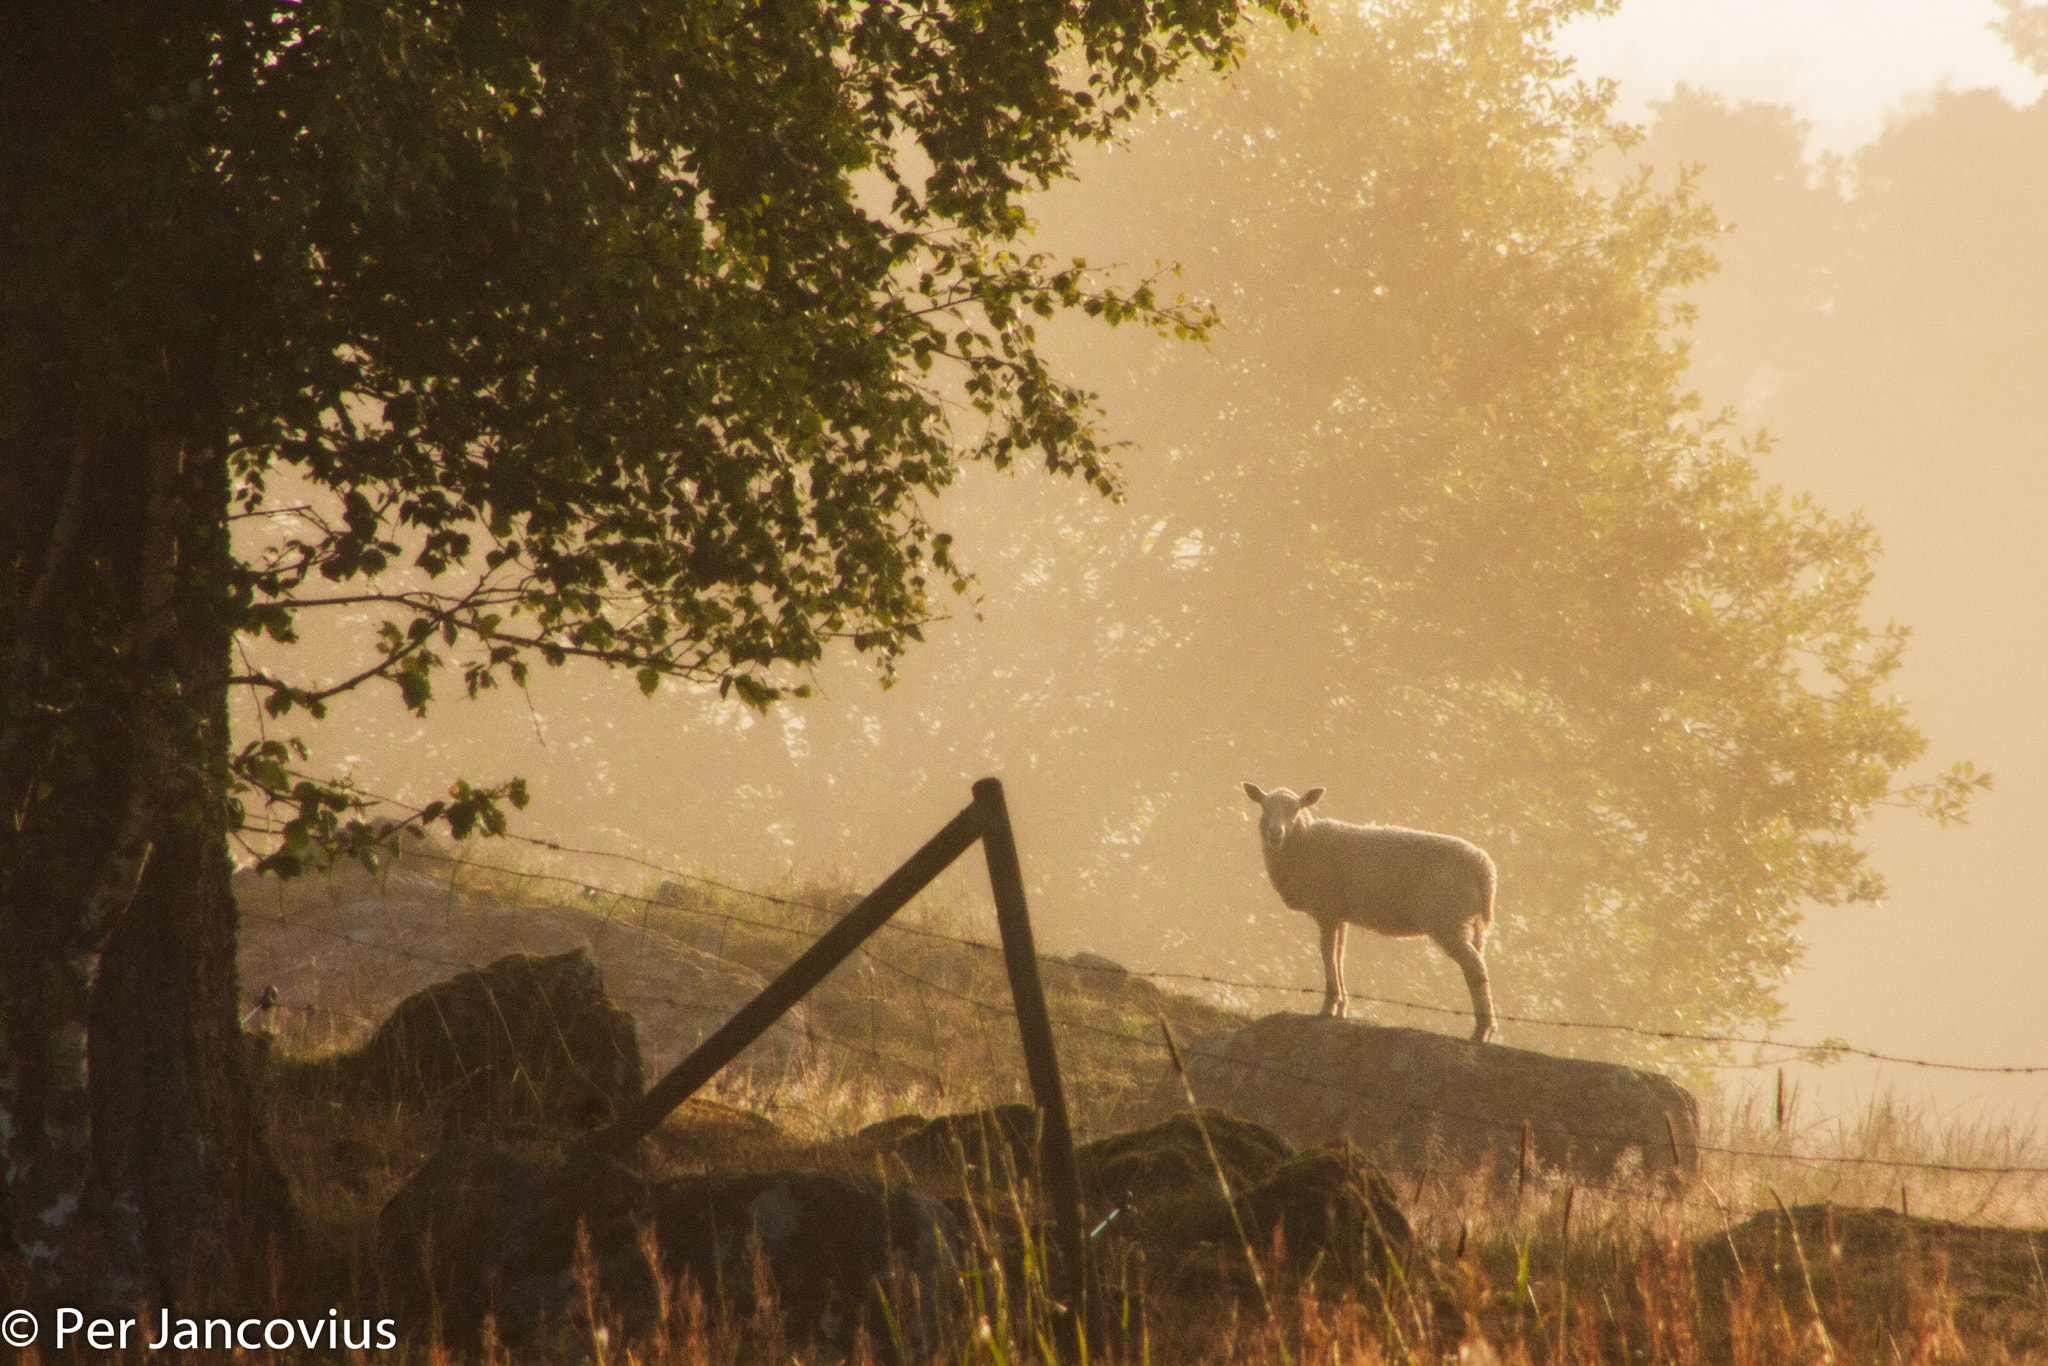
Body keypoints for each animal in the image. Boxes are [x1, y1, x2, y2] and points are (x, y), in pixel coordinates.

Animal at [1243, 783, 1498, 1044]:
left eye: (1295, 809)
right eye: (1264, 807)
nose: (1275, 833)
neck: (1304, 843)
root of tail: (1484, 869)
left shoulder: (1326, 909)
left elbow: (1327, 953)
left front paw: (1328, 1007)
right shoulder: (1339, 914)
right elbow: (1339, 954)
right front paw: (1341, 1008)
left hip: (1448, 919)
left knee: (1475, 968)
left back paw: (1482, 1030)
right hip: (1468, 922)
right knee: (1478, 965)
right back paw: (1486, 1030)